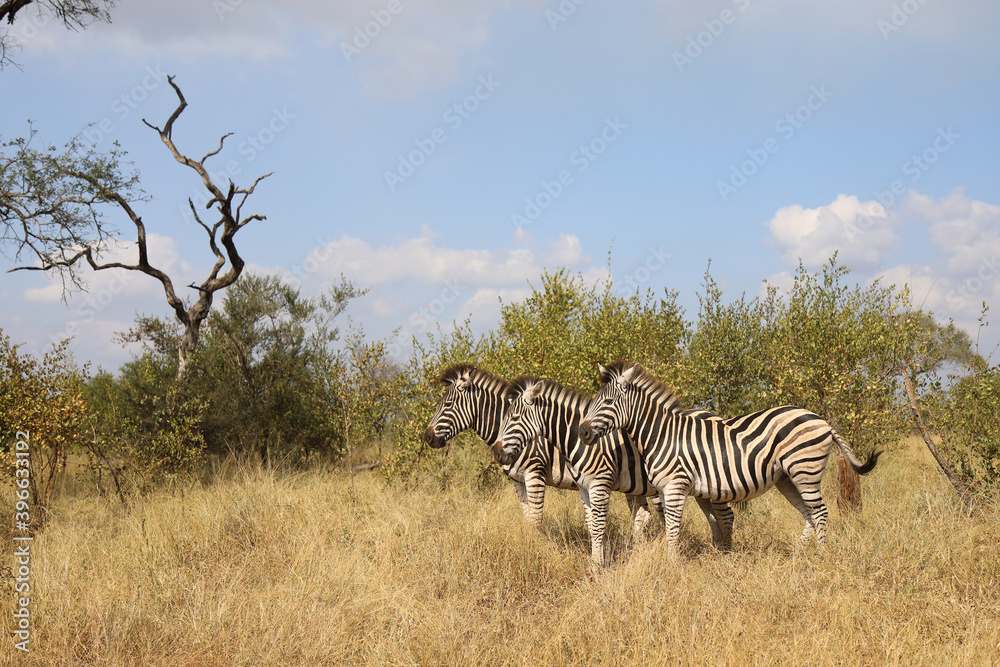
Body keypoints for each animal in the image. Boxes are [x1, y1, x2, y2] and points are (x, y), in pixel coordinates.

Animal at [424, 364, 663, 539]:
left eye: (448, 404)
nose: (427, 437)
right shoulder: (517, 480)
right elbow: (527, 517)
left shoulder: (535, 474)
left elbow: (537, 519)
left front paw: (537, 551)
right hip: (634, 486)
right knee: (643, 516)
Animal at [494, 375, 734, 566]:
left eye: (514, 417)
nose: (497, 452)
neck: (578, 443)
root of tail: (713, 414)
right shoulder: (582, 487)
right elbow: (590, 524)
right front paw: (595, 560)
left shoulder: (597, 483)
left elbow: (596, 525)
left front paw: (598, 566)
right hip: (700, 490)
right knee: (712, 517)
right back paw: (716, 551)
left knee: (726, 515)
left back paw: (725, 555)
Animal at [578, 361, 881, 557]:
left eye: (607, 403)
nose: (582, 432)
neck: (661, 434)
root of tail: (823, 421)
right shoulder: (664, 490)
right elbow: (666, 527)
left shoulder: (675, 487)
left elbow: (672, 529)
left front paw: (671, 564)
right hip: (787, 478)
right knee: (809, 514)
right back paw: (797, 554)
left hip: (804, 471)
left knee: (820, 512)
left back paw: (822, 554)